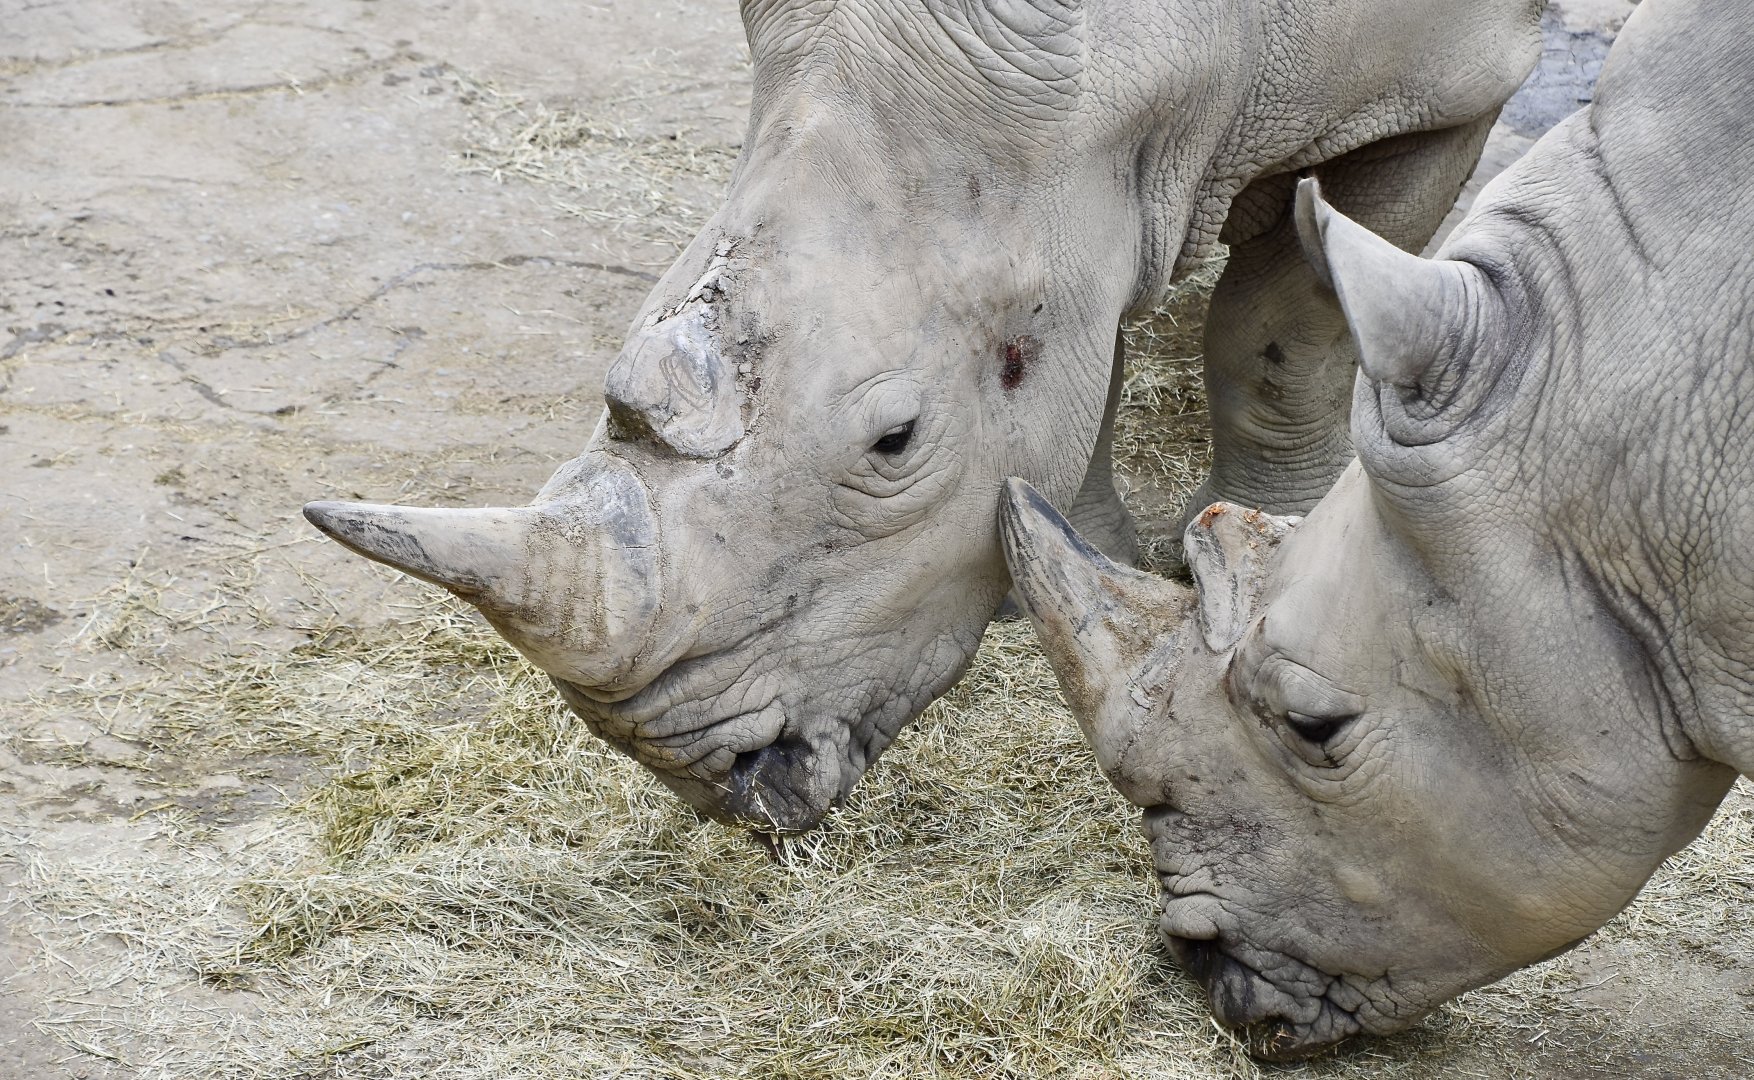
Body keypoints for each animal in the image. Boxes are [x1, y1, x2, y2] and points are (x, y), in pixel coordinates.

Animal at [303, 0, 1540, 832]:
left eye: (892, 442)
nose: (713, 780)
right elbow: (1084, 357)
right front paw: (1065, 551)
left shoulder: (1437, 92)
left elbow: (1285, 330)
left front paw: (1285, 534)